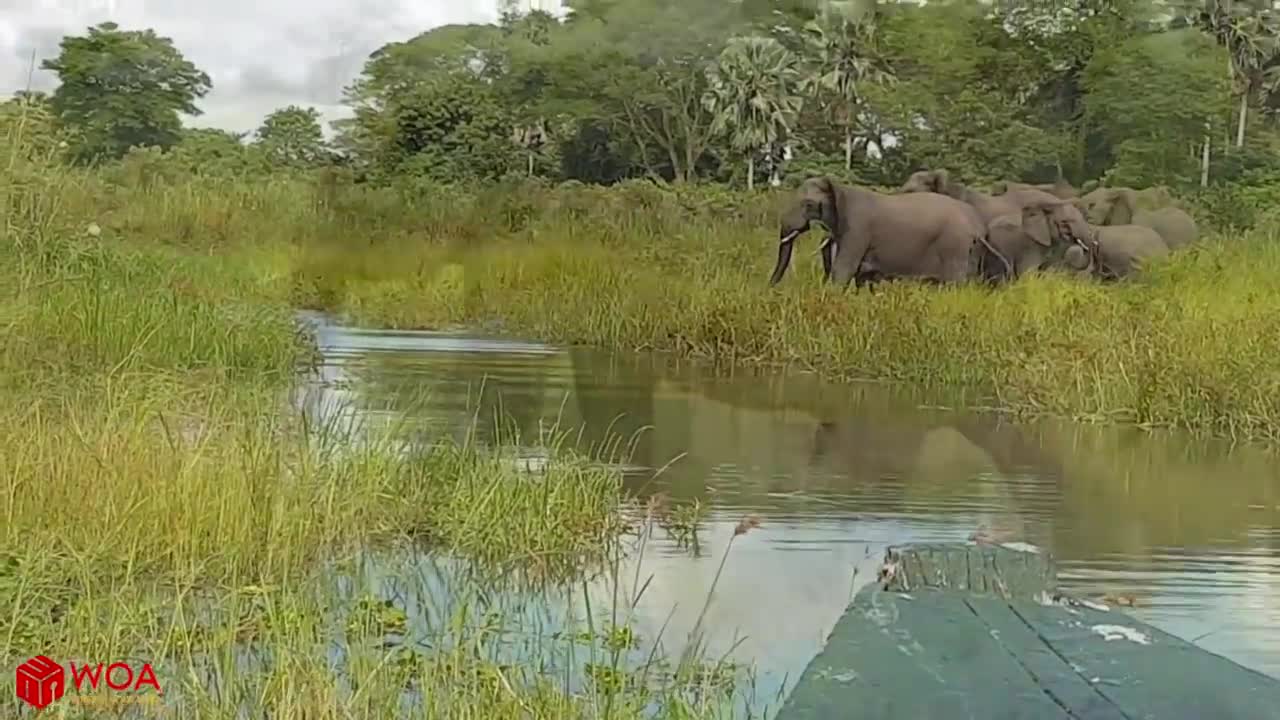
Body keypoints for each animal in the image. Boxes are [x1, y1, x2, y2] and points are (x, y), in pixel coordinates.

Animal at [762, 175, 993, 286]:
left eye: (808, 204)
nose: (770, 288)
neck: (841, 188)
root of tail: (976, 224)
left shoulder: (857, 227)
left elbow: (843, 270)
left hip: (955, 246)